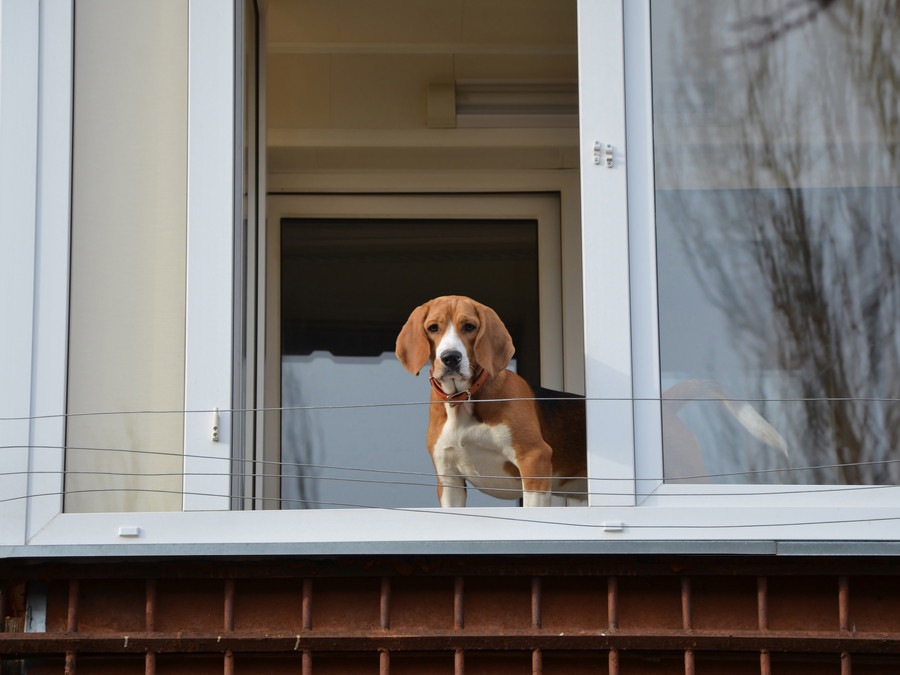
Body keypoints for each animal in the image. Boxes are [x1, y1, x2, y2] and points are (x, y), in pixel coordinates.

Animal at [398, 296, 588, 508]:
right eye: (433, 328)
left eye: (469, 326)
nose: (451, 358)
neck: (463, 400)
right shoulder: (449, 479)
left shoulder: (534, 458)